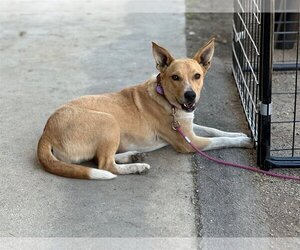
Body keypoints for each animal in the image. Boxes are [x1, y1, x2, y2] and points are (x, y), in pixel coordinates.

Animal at [38, 38, 253, 180]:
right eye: (175, 77)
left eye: (197, 76)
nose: (190, 95)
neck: (167, 99)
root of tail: (46, 132)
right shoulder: (189, 142)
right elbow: (219, 140)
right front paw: (243, 141)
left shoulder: (188, 127)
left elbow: (215, 130)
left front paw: (238, 134)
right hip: (109, 121)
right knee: (106, 165)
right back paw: (137, 167)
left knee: (101, 159)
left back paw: (132, 156)